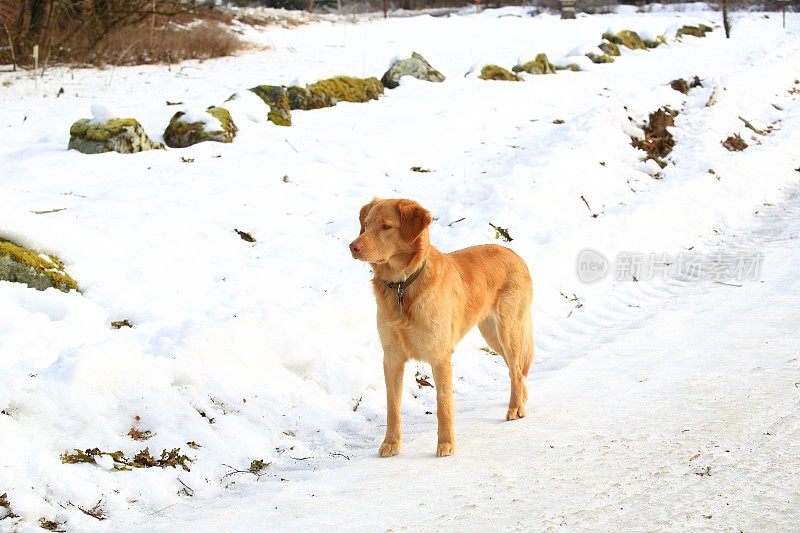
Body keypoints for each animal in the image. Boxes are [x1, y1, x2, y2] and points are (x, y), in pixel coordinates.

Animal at [348, 197, 532, 456]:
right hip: (492, 335)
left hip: (508, 331)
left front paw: (446, 444)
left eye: (386, 227)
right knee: (516, 370)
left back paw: (515, 408)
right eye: (365, 225)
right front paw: (391, 443)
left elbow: (444, 405)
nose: (352, 247)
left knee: (515, 370)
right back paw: (522, 399)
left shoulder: (440, 357)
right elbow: (392, 408)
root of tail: (514, 253)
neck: (403, 286)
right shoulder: (391, 358)